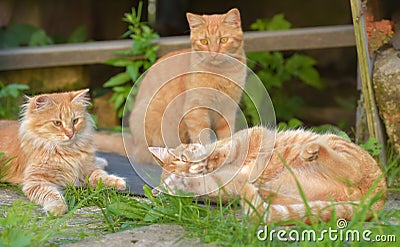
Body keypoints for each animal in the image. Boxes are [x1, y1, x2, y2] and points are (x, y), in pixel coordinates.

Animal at [96, 8, 247, 164]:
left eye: (223, 40)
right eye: (204, 41)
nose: (213, 53)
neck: (222, 73)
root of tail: (134, 145)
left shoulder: (228, 110)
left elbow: (226, 135)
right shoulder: (195, 111)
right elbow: (203, 137)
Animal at [148, 126, 386, 225]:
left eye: (183, 158)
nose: (194, 168)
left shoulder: (251, 136)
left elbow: (227, 148)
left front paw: (210, 158)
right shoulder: (226, 186)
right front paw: (177, 183)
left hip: (336, 143)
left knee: (351, 168)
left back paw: (312, 150)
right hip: (293, 195)